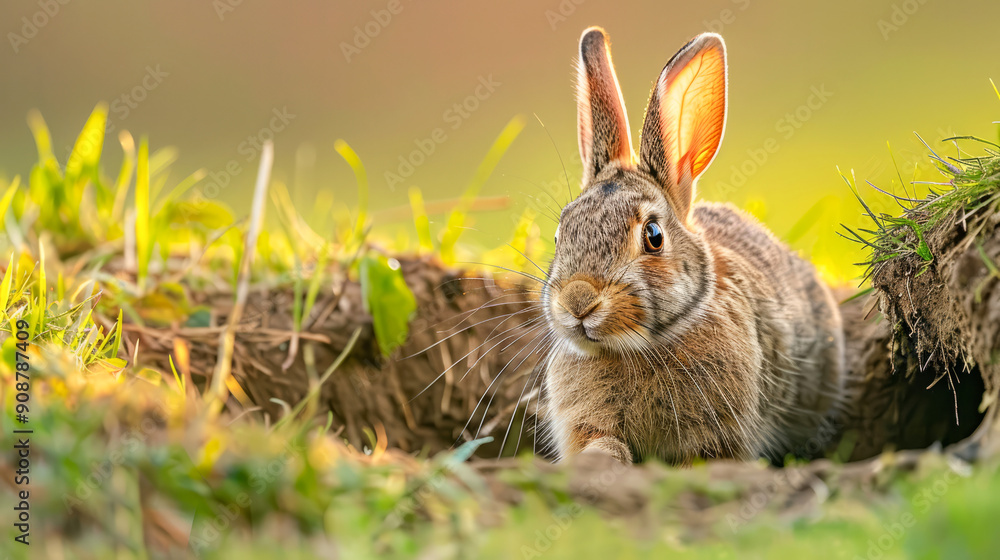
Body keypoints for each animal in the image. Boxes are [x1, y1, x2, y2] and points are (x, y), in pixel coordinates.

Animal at [539, 27, 846, 465]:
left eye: (653, 236)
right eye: (560, 234)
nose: (578, 302)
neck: (637, 348)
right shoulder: (588, 421)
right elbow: (602, 442)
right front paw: (599, 464)